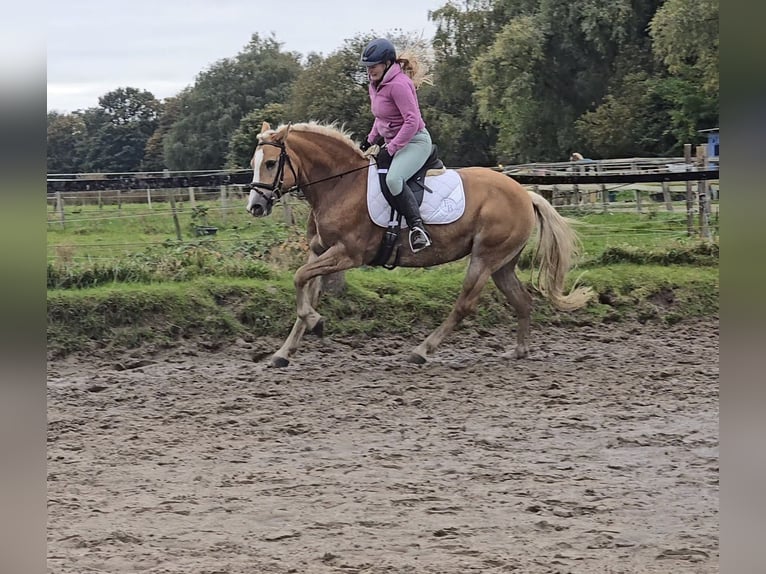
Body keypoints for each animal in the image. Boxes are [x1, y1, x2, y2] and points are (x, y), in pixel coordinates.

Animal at [246, 121, 592, 368]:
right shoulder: (321, 252)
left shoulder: (347, 254)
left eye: (271, 163)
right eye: (254, 162)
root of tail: (525, 193)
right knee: (522, 301)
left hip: (484, 259)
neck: (340, 185)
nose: (255, 207)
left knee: (464, 305)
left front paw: (315, 322)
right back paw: (518, 350)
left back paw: (422, 350)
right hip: (502, 264)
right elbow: (306, 287)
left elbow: (299, 278)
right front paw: (285, 351)